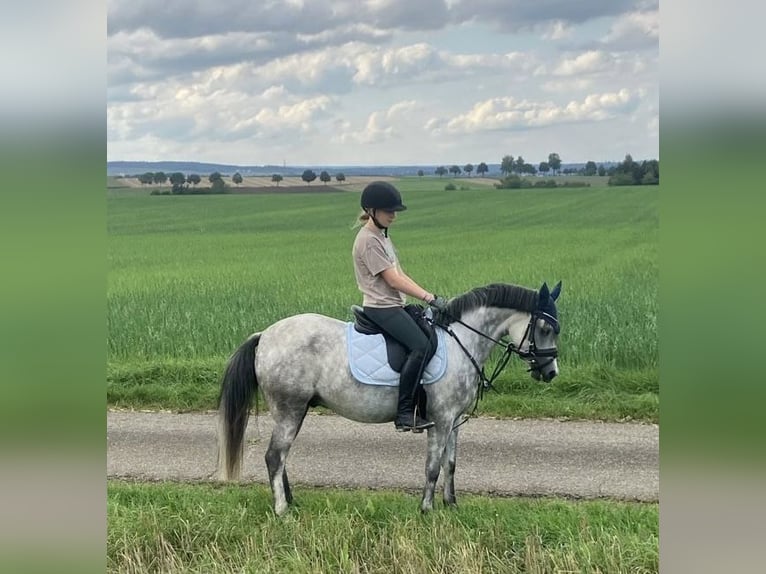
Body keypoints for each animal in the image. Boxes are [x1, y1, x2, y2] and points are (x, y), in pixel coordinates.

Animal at [216, 281, 562, 515]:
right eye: (545, 328)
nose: (550, 372)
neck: (461, 342)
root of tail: (264, 335)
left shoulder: (454, 421)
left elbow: (450, 464)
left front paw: (451, 504)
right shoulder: (440, 420)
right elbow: (432, 467)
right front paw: (426, 509)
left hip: (293, 411)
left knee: (281, 457)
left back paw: (291, 501)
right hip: (289, 409)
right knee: (275, 456)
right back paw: (282, 510)